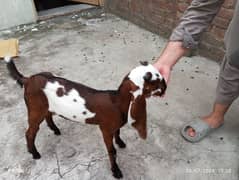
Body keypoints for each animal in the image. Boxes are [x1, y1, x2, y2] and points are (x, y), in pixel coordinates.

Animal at [3, 57, 166, 178]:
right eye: (156, 81)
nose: (165, 87)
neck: (117, 101)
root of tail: (28, 79)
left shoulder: (114, 125)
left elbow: (118, 132)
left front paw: (121, 142)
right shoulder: (105, 128)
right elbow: (111, 150)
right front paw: (116, 171)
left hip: (45, 106)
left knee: (48, 116)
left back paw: (55, 130)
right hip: (35, 109)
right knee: (30, 132)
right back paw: (35, 153)